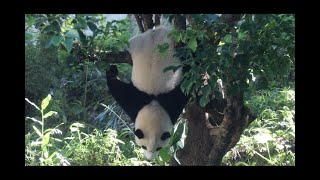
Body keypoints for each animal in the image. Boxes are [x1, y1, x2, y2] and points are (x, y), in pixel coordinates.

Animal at [106, 26, 189, 160]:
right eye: (143, 147)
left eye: (158, 148)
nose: (149, 158)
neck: (153, 103)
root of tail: (156, 31)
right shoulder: (136, 101)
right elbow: (119, 91)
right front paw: (112, 70)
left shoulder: (171, 103)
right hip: (137, 44)